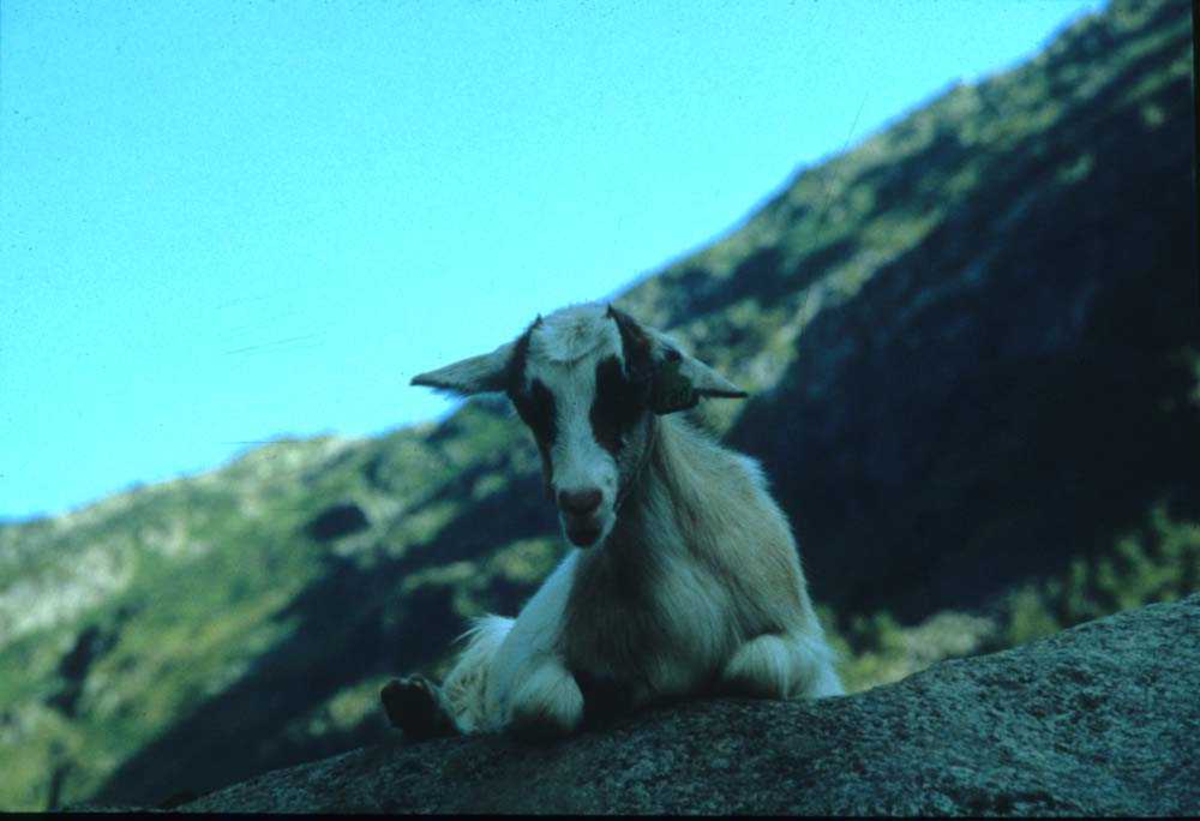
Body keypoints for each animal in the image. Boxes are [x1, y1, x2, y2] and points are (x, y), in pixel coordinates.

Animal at [384, 304, 844, 739]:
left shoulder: (805, 649)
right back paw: (417, 705)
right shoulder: (533, 661)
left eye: (629, 388)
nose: (580, 502)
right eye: (529, 405)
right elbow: (547, 705)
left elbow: (754, 668)